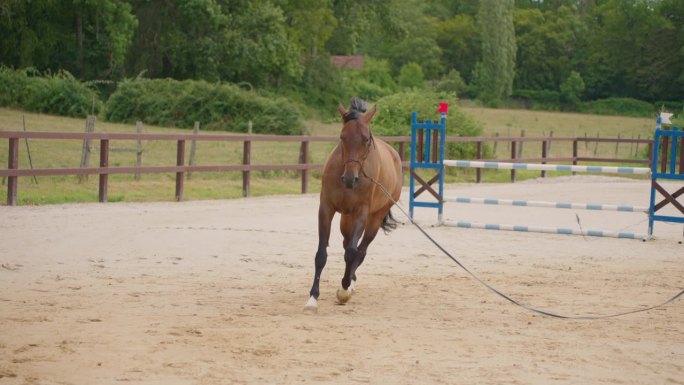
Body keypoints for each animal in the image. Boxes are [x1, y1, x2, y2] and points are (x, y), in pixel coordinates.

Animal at [304, 98, 400, 312]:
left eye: (365, 139)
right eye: (342, 137)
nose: (350, 179)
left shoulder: (361, 213)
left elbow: (351, 254)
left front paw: (344, 290)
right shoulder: (326, 209)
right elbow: (321, 254)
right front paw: (313, 298)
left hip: (374, 219)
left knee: (360, 251)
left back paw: (349, 284)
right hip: (345, 220)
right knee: (348, 244)